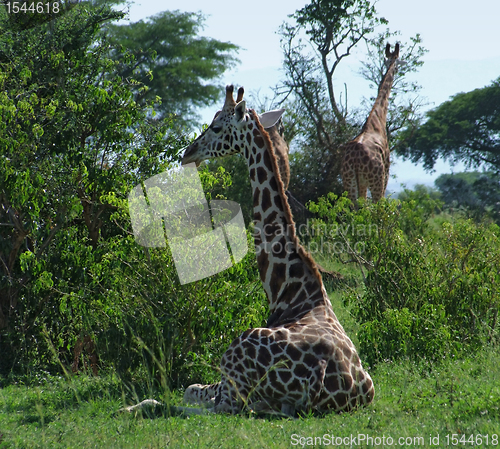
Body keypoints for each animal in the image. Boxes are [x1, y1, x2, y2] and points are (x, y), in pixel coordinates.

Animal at [182, 84, 374, 412]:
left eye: (217, 126)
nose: (187, 154)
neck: (289, 291)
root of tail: (320, 374)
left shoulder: (224, 384)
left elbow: (189, 388)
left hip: (235, 363)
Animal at [342, 42, 400, 203]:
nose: (395, 69)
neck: (378, 118)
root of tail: (355, 160)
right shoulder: (387, 170)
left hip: (349, 181)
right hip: (375, 181)